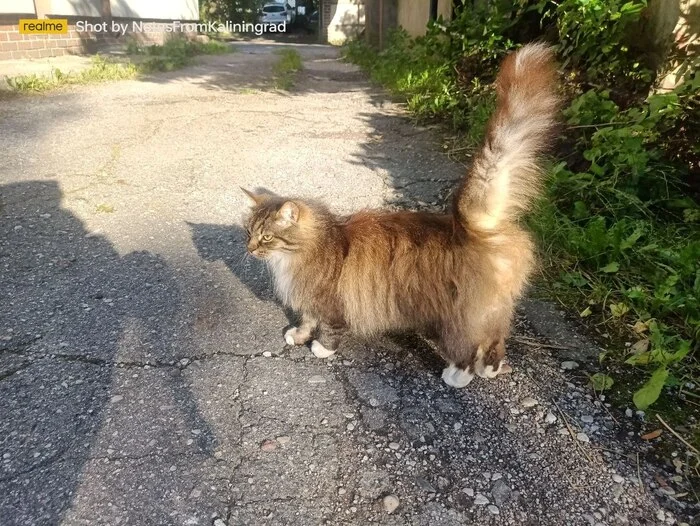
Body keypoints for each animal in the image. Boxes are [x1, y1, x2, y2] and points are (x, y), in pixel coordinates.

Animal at [243, 43, 560, 390]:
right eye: (248, 232)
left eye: (266, 236)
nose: (249, 248)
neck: (304, 251)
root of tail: (471, 227)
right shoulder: (309, 301)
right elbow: (306, 320)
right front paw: (298, 336)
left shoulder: (329, 301)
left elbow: (327, 328)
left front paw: (321, 349)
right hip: (491, 311)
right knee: (495, 341)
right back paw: (488, 369)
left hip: (457, 316)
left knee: (467, 346)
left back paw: (457, 376)